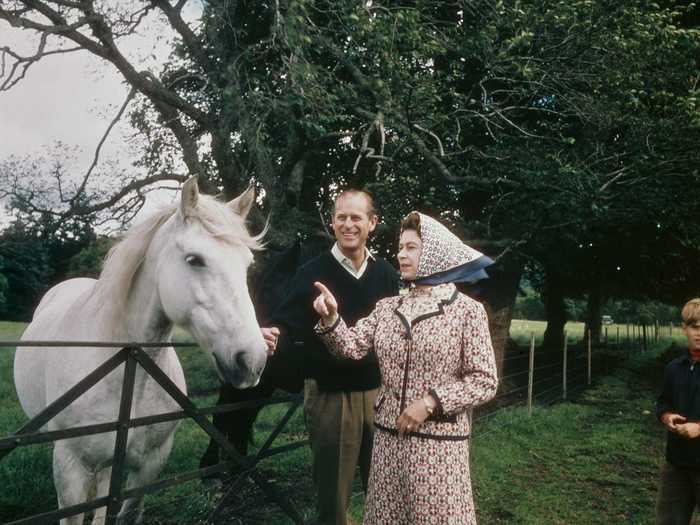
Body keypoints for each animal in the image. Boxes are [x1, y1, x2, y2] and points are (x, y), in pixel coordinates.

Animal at [13, 178, 268, 520]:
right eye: (195, 259)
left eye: (247, 265)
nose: (252, 360)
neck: (127, 367)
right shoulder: (70, 469)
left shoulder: (150, 466)